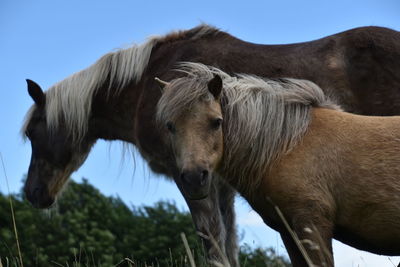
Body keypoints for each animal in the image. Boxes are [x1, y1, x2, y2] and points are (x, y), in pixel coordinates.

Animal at [155, 62, 400, 266]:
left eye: (216, 122)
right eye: (169, 126)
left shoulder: (312, 224)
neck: (287, 146)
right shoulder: (289, 232)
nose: (194, 178)